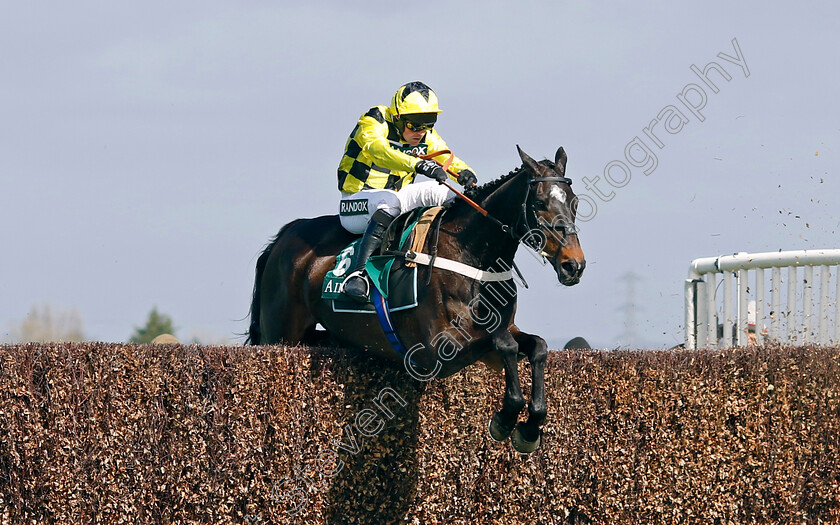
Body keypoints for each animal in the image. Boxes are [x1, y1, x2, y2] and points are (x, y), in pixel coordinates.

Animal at [244, 145, 584, 452]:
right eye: (539, 202)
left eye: (575, 202)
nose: (574, 265)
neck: (473, 257)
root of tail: (286, 235)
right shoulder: (435, 352)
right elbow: (506, 345)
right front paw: (505, 418)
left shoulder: (503, 328)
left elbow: (537, 346)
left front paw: (530, 427)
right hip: (280, 334)